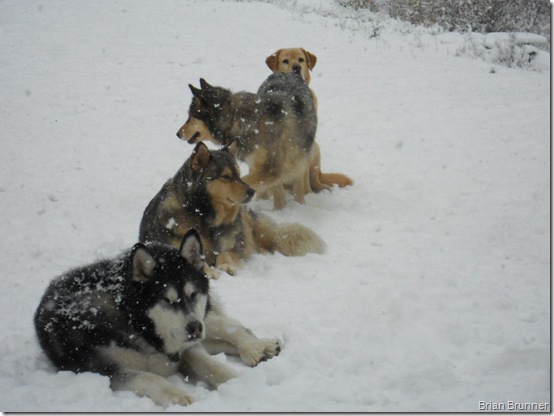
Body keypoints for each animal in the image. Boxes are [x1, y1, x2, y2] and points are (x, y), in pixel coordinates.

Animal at [34, 228, 280, 406]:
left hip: (207, 319)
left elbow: (210, 364)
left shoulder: (188, 346)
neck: (139, 327)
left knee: (234, 327)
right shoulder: (105, 371)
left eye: (192, 294)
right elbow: (149, 377)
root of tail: (157, 244)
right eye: (167, 300)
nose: (194, 327)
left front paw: (240, 382)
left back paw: (255, 347)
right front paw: (176, 394)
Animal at [139, 141, 324, 278]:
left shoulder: (233, 246)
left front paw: (227, 265)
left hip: (258, 230)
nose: (252, 191)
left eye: (238, 174)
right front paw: (209, 271)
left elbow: (225, 253)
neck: (205, 216)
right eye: (226, 176)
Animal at [176, 73, 314, 210]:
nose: (177, 134)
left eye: (191, 116)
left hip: (298, 159)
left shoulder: (270, 169)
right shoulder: (266, 170)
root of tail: (290, 73)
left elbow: (240, 183)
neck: (235, 119)